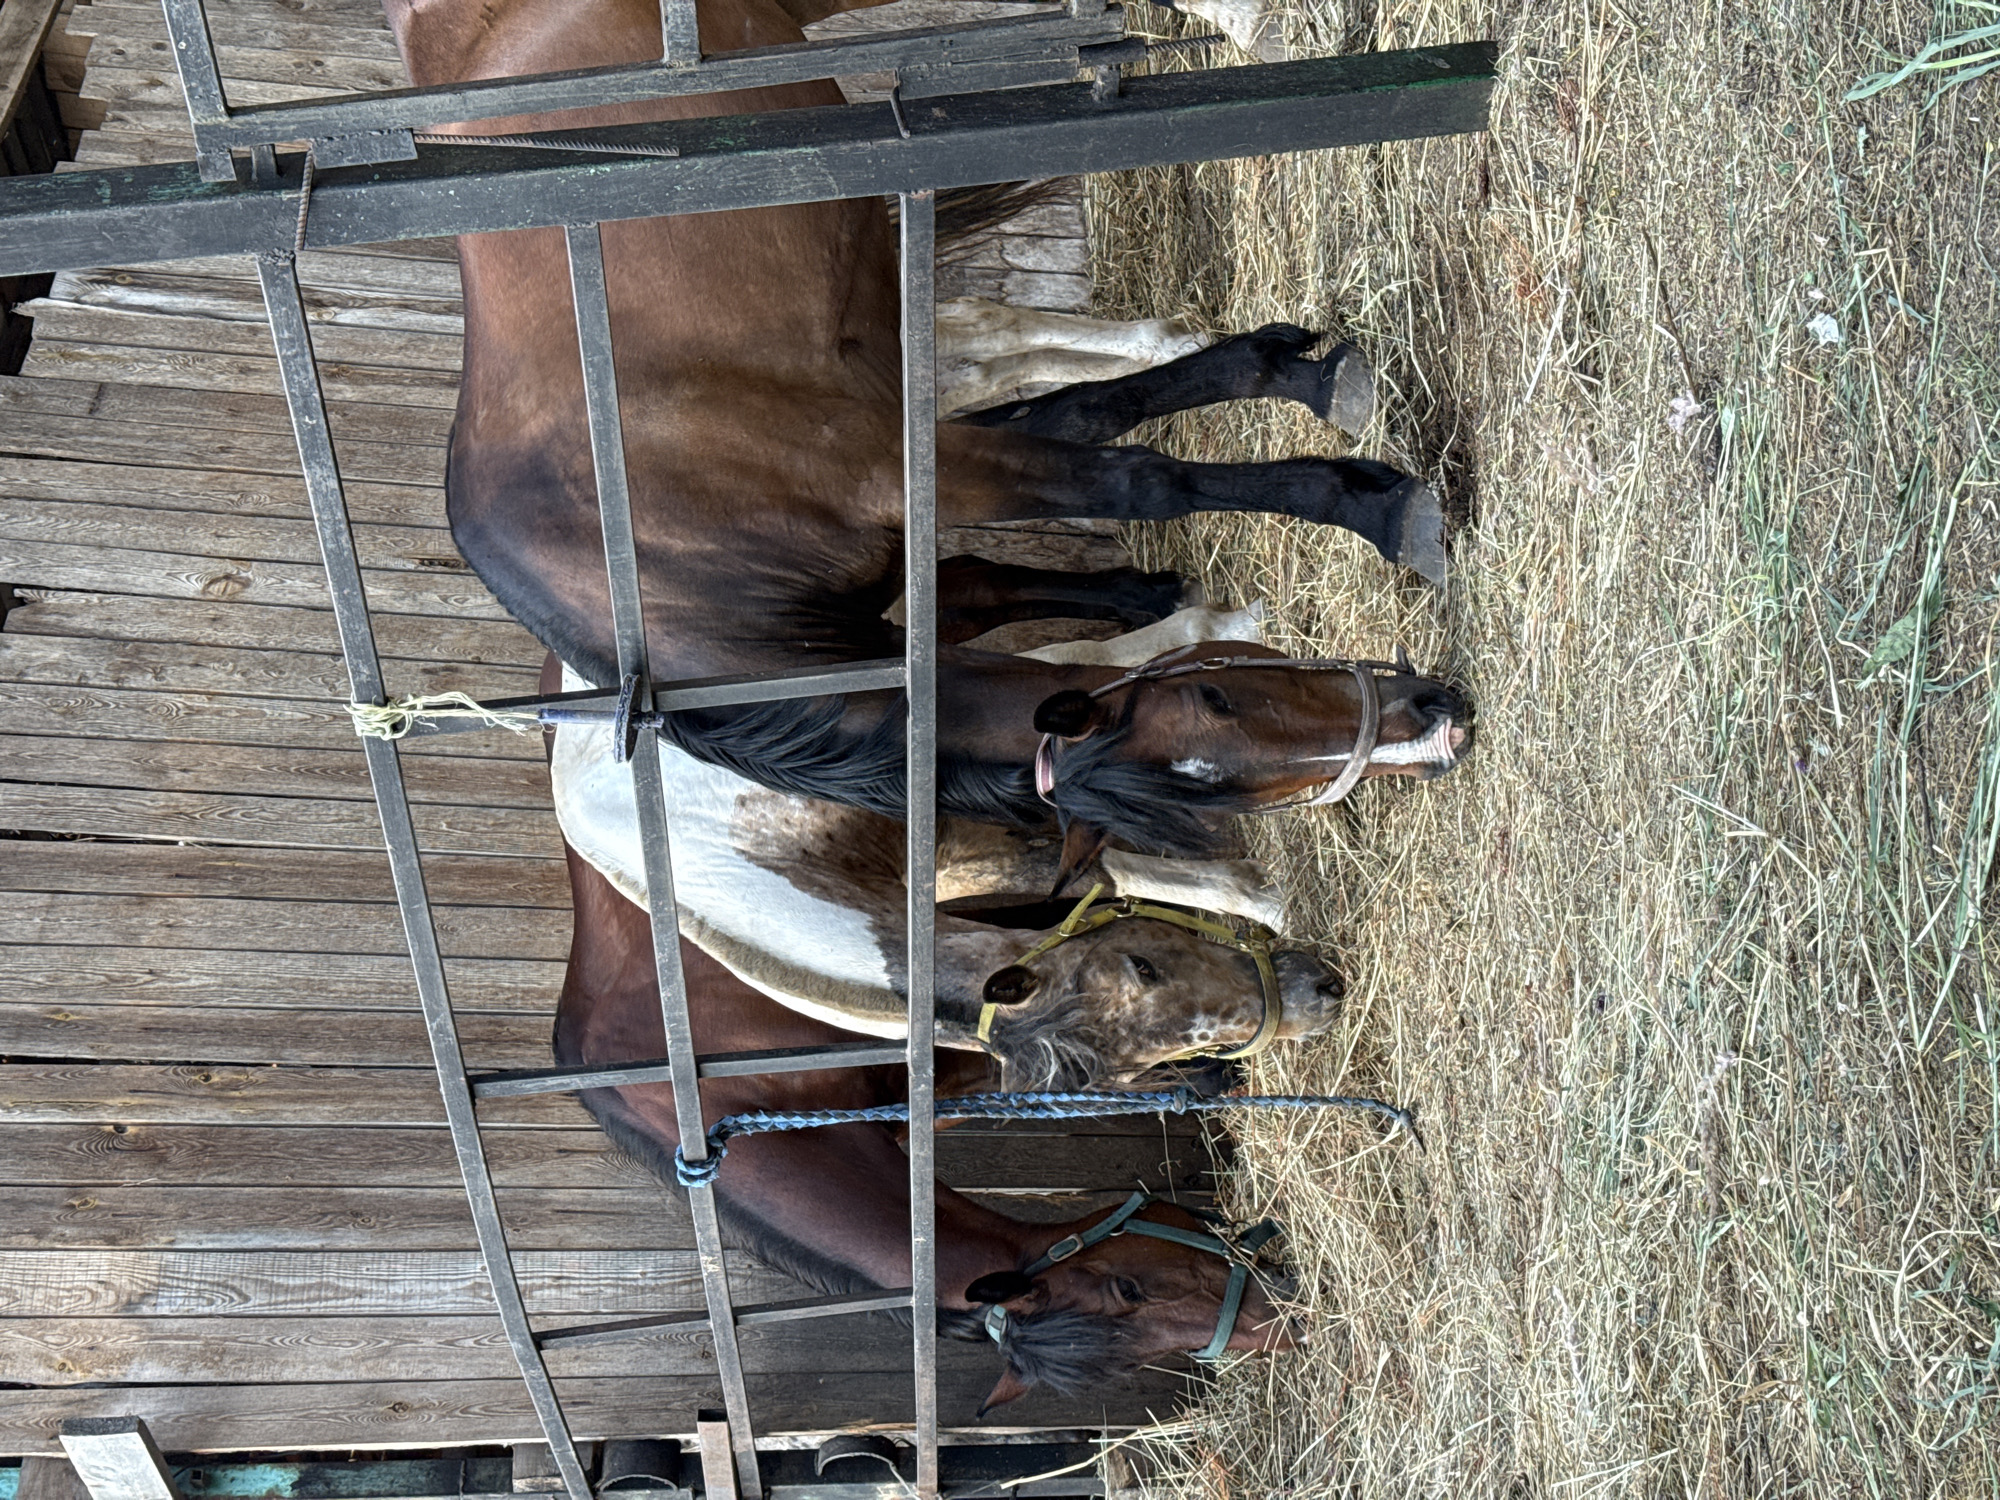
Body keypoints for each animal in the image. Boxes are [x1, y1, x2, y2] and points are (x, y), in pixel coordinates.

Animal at [383, 0, 1474, 871]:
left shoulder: (912, 461)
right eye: (1214, 716)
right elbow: (1080, 467)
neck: (665, 580)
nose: (1435, 718)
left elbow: (1128, 470)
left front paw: (1369, 501)